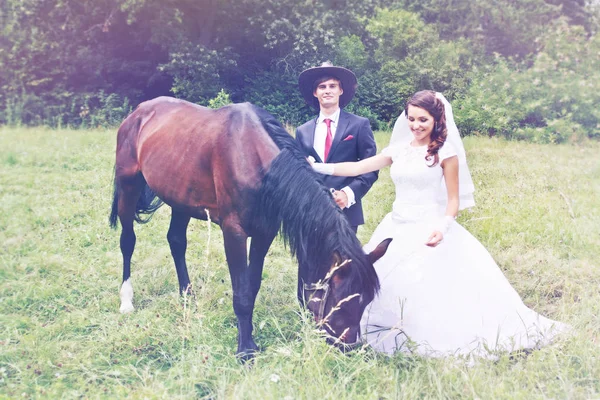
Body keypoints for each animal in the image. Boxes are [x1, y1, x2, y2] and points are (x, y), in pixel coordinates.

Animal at [109, 96, 390, 356]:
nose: (347, 346)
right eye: (341, 298)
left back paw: (187, 296)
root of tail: (138, 112)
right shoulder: (233, 233)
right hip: (129, 187)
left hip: (180, 198)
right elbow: (241, 292)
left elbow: (252, 285)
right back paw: (126, 301)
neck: (254, 160)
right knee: (127, 242)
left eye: (366, 300)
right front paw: (245, 349)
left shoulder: (264, 233)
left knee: (176, 241)